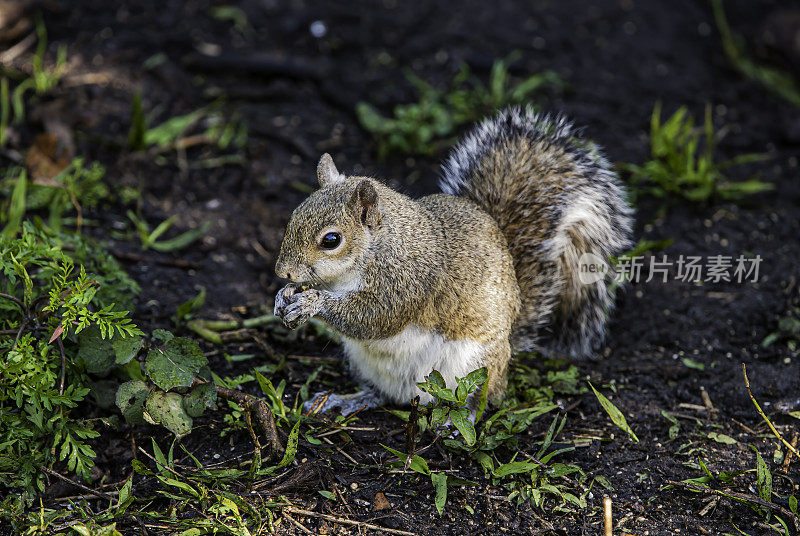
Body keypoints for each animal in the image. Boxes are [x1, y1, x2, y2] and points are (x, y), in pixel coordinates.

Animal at [274, 104, 632, 414]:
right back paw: (347, 399)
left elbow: (374, 317)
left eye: (331, 240)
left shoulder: (409, 280)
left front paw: (312, 302)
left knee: (481, 397)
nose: (283, 272)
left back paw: (461, 420)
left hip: (478, 366)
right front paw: (283, 298)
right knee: (381, 394)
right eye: (293, 216)